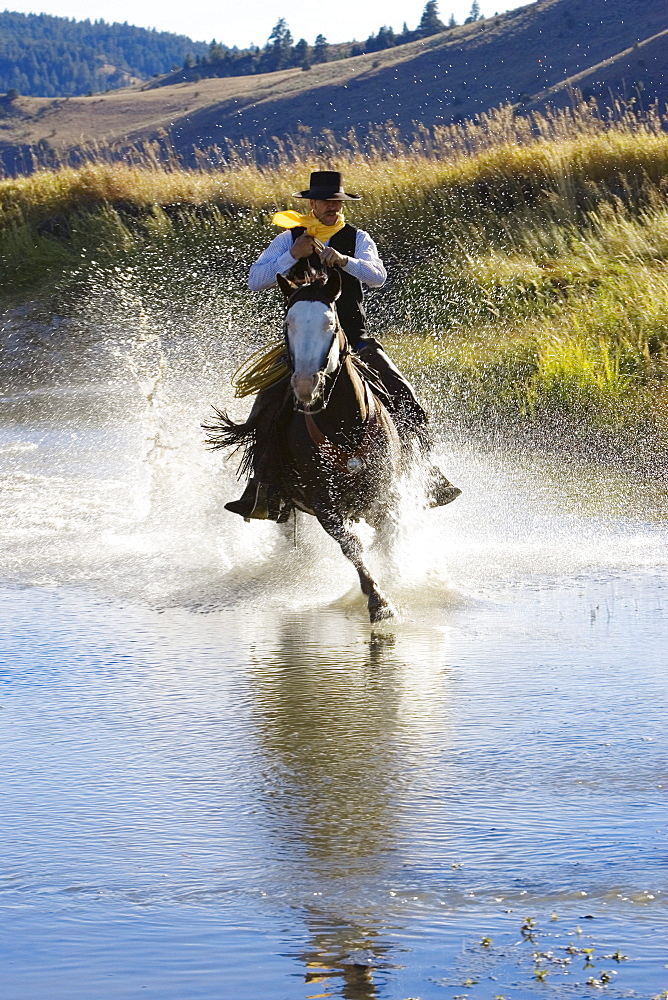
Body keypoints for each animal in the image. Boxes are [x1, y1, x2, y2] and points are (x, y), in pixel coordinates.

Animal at [209, 270, 408, 620]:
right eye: (288, 323)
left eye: (330, 323)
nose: (304, 384)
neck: (344, 427)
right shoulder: (322, 502)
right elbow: (351, 545)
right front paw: (379, 601)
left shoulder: (385, 495)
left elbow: (386, 541)